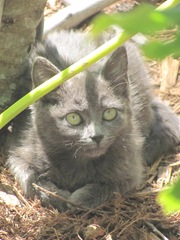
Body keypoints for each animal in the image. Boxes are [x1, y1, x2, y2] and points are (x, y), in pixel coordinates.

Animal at [5, 29, 180, 210]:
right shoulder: (20, 149)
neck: (79, 161)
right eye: (73, 117)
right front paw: (56, 195)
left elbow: (110, 185)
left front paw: (78, 199)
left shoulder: (130, 168)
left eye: (109, 113)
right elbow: (30, 180)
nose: (97, 136)